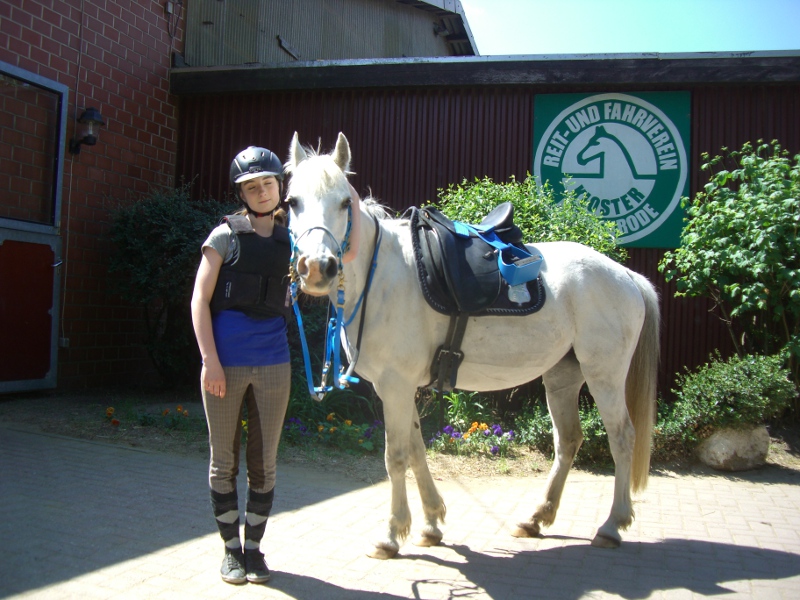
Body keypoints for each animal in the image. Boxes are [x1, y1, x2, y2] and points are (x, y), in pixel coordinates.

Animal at [285, 132, 660, 559]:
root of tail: (627, 276)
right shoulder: (398, 388)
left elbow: (396, 457)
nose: (317, 267)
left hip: (605, 377)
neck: (384, 276)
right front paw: (431, 523)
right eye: (292, 202)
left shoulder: (395, 386)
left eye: (344, 203)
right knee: (568, 440)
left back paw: (612, 526)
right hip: (563, 377)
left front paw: (391, 535)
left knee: (622, 437)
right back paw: (536, 519)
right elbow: (417, 450)